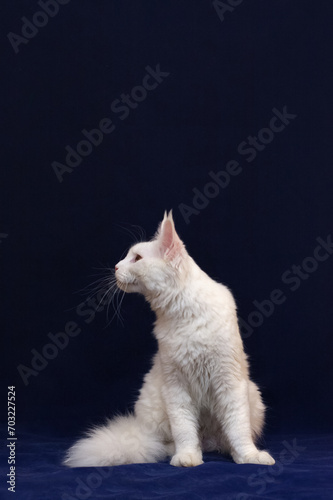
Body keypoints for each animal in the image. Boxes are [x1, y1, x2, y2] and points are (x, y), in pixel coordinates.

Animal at [63, 211, 274, 468]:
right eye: (128, 257)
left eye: (136, 258)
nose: (115, 267)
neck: (183, 316)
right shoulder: (176, 386)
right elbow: (185, 431)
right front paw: (187, 457)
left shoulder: (229, 382)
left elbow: (238, 429)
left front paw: (248, 457)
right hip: (155, 406)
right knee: (164, 443)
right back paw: (183, 450)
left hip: (253, 397)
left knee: (224, 437)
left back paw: (224, 449)